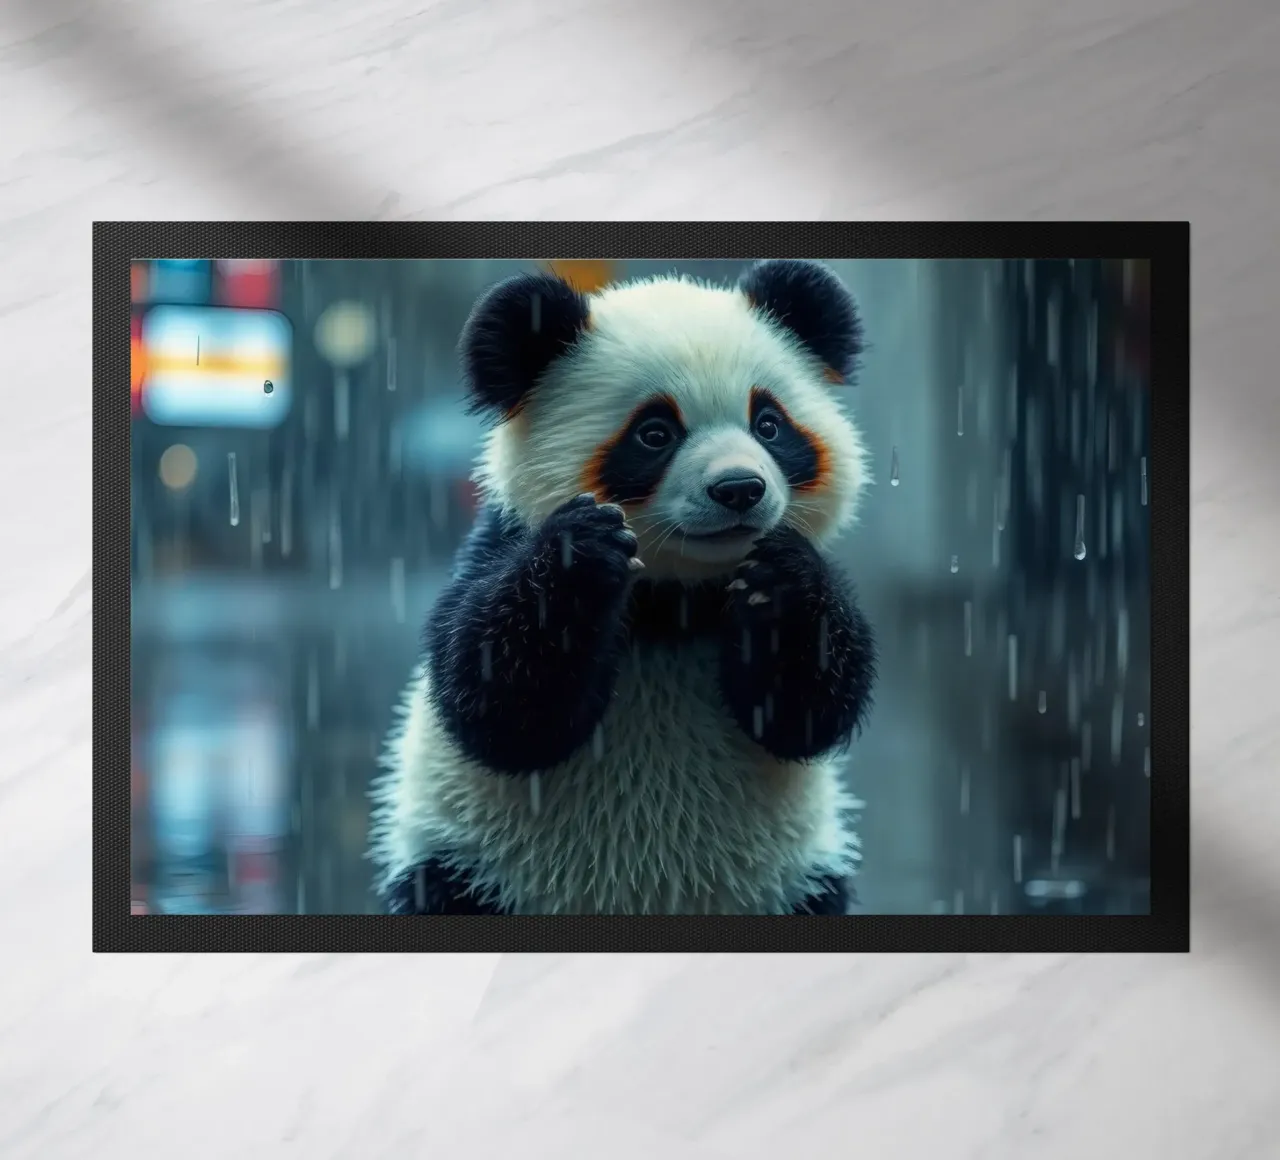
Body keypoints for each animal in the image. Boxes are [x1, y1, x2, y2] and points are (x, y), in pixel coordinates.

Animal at [368, 259, 878, 915]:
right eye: (654, 433)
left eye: (769, 424)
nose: (740, 488)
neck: (676, 600)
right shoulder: (494, 547)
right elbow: (496, 703)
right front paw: (580, 555)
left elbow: (805, 713)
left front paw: (784, 580)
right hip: (473, 869)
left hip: (793, 882)